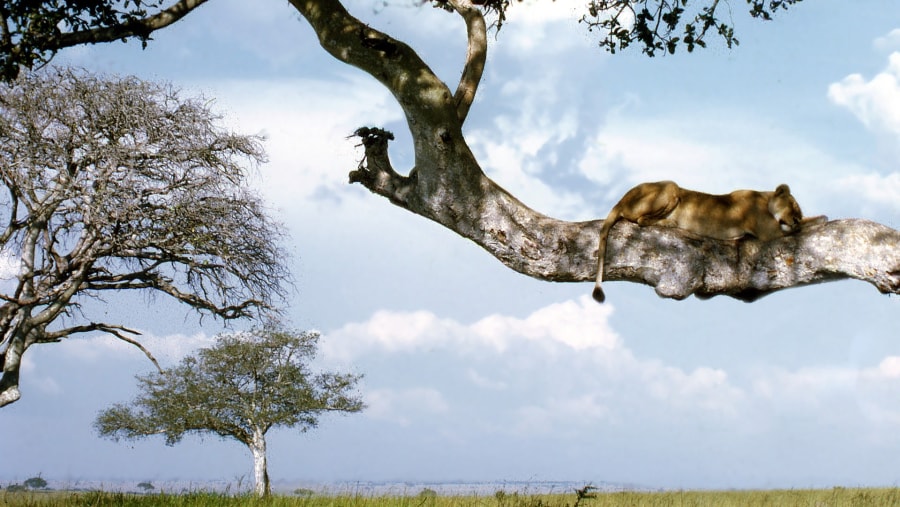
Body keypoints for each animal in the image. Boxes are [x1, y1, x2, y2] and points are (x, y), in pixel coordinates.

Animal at [596, 181, 828, 304]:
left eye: (798, 211)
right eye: (793, 207)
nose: (795, 219)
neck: (764, 199)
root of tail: (620, 199)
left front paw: (817, 218)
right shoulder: (770, 232)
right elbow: (803, 229)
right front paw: (819, 220)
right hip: (671, 187)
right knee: (639, 219)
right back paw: (669, 222)